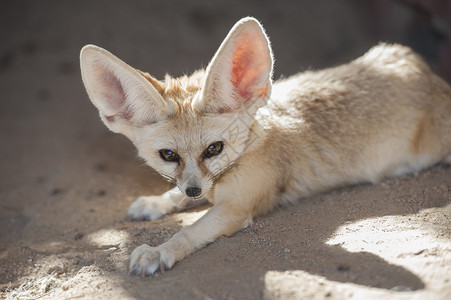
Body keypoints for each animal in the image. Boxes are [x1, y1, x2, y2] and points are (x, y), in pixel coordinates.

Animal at [80, 15, 451, 274]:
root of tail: (429, 75)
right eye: (168, 155)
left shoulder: (235, 208)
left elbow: (189, 232)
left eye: (214, 149)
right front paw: (156, 202)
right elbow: (175, 194)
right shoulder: (204, 187)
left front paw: (159, 250)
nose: (194, 192)